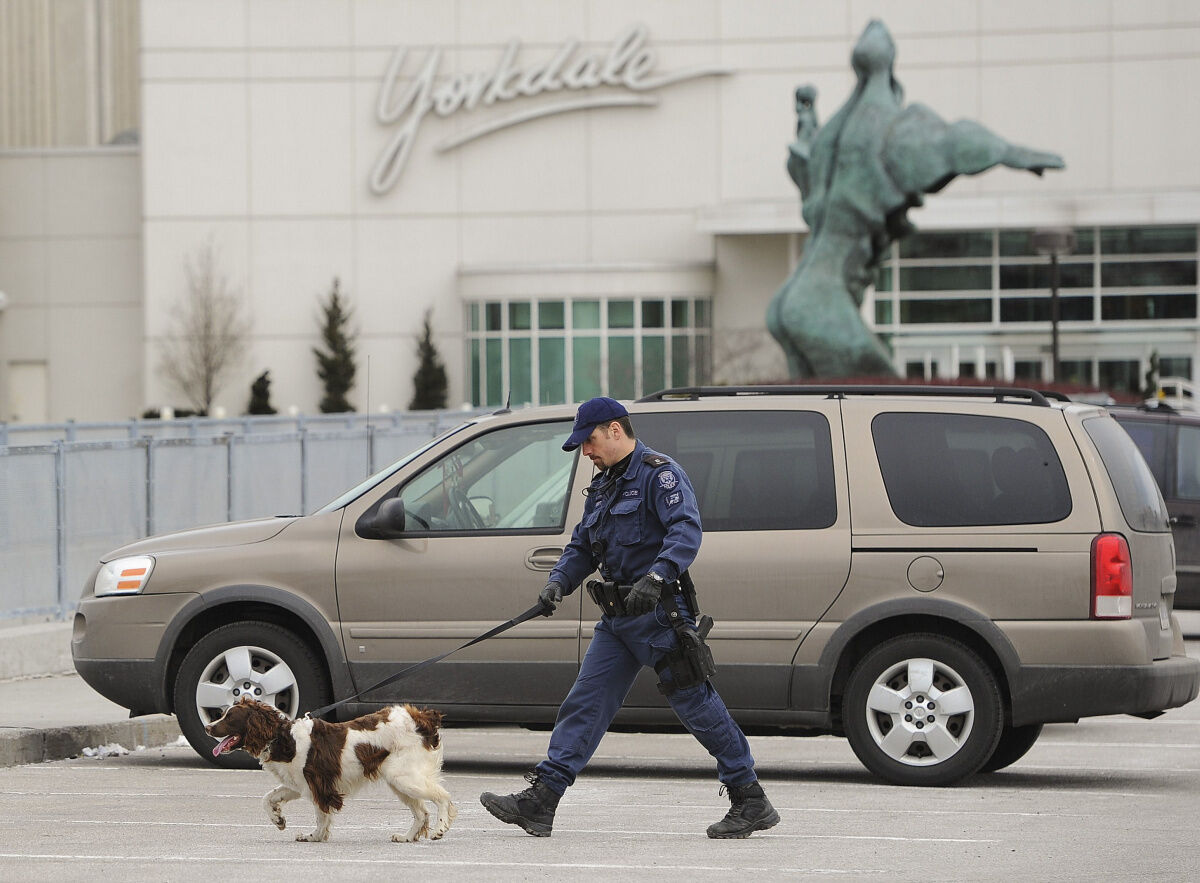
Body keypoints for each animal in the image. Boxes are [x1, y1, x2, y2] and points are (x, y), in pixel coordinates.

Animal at [205, 695, 453, 839]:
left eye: (230, 718)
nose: (208, 727)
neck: (283, 738)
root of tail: (421, 717)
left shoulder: (318, 784)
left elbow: (321, 815)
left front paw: (315, 836)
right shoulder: (298, 784)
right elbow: (268, 798)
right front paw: (278, 820)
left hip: (404, 777)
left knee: (443, 797)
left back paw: (440, 829)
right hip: (398, 780)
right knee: (421, 812)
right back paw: (406, 837)